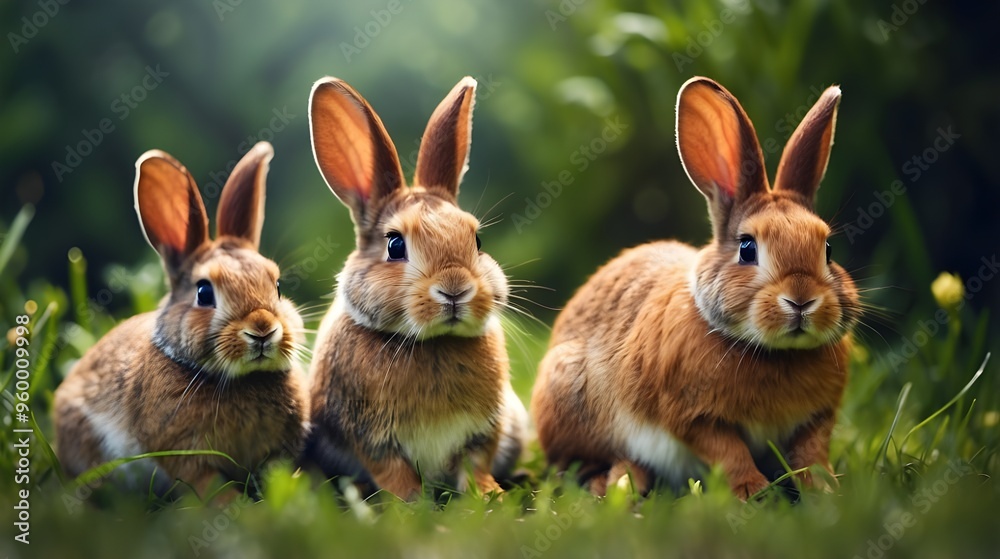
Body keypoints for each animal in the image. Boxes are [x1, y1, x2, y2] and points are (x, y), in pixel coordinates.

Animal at [54, 141, 310, 498]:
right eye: (203, 292)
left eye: (278, 286)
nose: (262, 329)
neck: (241, 379)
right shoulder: (185, 453)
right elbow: (207, 483)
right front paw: (233, 504)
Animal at [304, 76, 527, 500]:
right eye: (395, 245)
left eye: (477, 241)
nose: (455, 290)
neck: (431, 343)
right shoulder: (371, 438)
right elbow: (393, 472)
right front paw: (408, 502)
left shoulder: (482, 432)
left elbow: (475, 464)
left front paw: (489, 495)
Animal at [531, 77, 860, 501]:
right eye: (747, 248)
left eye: (828, 249)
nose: (802, 300)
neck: (774, 353)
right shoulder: (695, 418)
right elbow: (729, 452)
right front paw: (753, 492)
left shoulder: (815, 420)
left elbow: (810, 454)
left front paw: (827, 489)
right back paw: (618, 482)